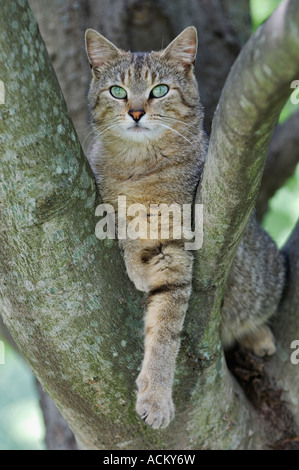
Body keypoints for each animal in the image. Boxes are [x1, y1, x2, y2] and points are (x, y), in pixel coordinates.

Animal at [85, 25, 288, 430]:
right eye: (118, 91)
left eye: (159, 90)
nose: (135, 112)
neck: (138, 166)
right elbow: (118, 222)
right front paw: (133, 254)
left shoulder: (176, 251)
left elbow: (164, 331)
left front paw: (156, 396)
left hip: (264, 276)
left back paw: (258, 336)